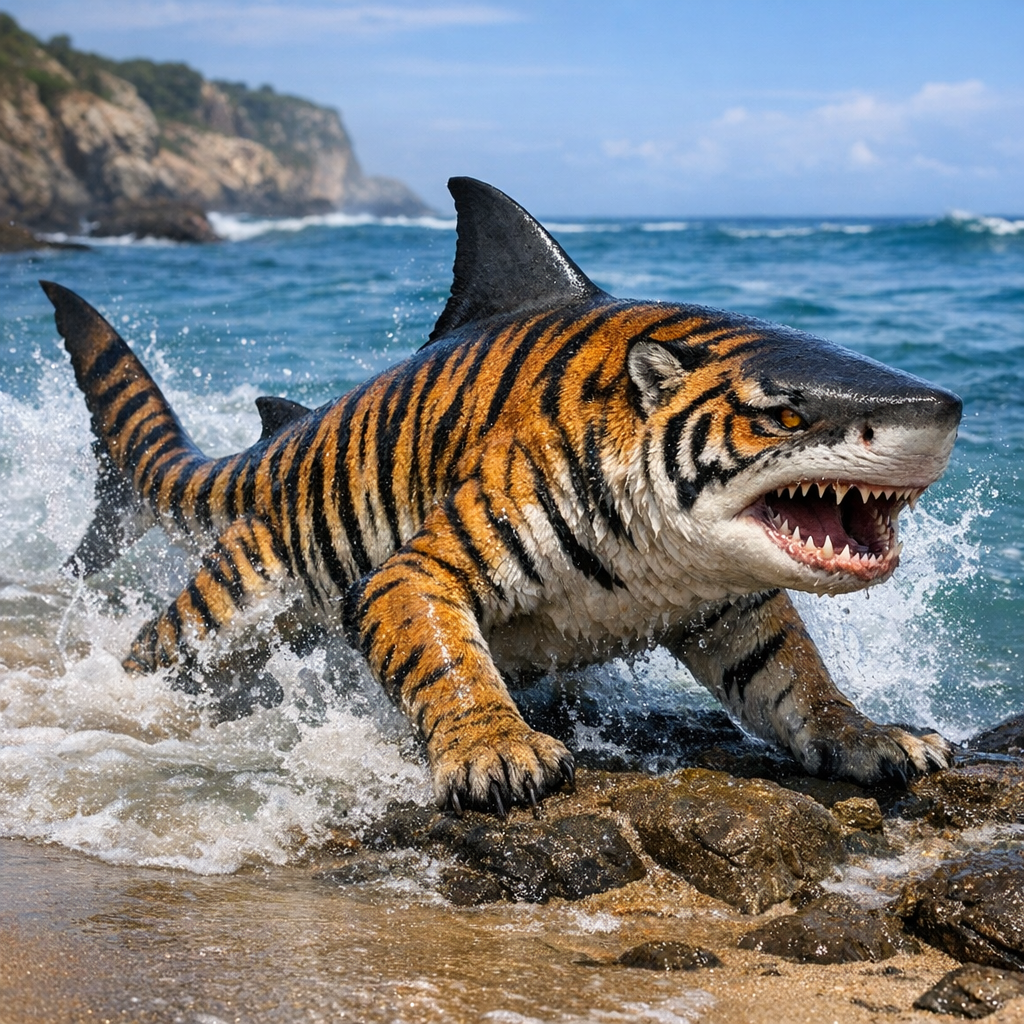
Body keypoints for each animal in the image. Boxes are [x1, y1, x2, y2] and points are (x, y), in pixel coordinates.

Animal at [41, 176, 962, 816]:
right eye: (786, 411)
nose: (940, 415)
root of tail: (268, 448)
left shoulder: (731, 607)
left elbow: (797, 682)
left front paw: (872, 737)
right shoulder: (408, 575)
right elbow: (444, 661)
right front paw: (496, 752)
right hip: (231, 592)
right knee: (158, 647)